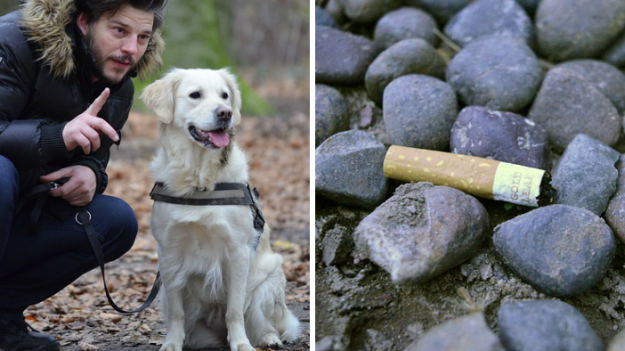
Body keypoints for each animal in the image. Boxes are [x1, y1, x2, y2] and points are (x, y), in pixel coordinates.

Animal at [141, 69, 300, 351]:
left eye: (225, 95)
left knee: (267, 323)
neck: (199, 180)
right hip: (166, 297)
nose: (225, 113)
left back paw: (268, 338)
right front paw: (172, 343)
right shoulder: (168, 254)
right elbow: (178, 313)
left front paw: (241, 344)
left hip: (268, 283)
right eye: (195, 95)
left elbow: (234, 310)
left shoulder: (237, 253)